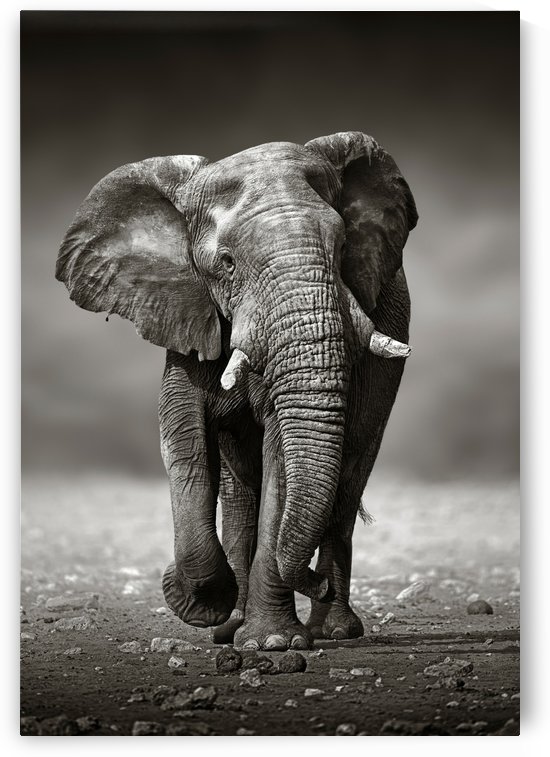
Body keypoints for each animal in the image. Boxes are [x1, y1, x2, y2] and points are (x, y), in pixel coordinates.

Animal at [56, 131, 418, 651]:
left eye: (344, 245)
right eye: (226, 264)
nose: (314, 582)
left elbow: (281, 455)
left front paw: (273, 644)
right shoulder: (187, 312)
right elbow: (183, 438)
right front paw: (203, 604)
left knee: (348, 478)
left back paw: (332, 630)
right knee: (240, 492)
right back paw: (232, 627)